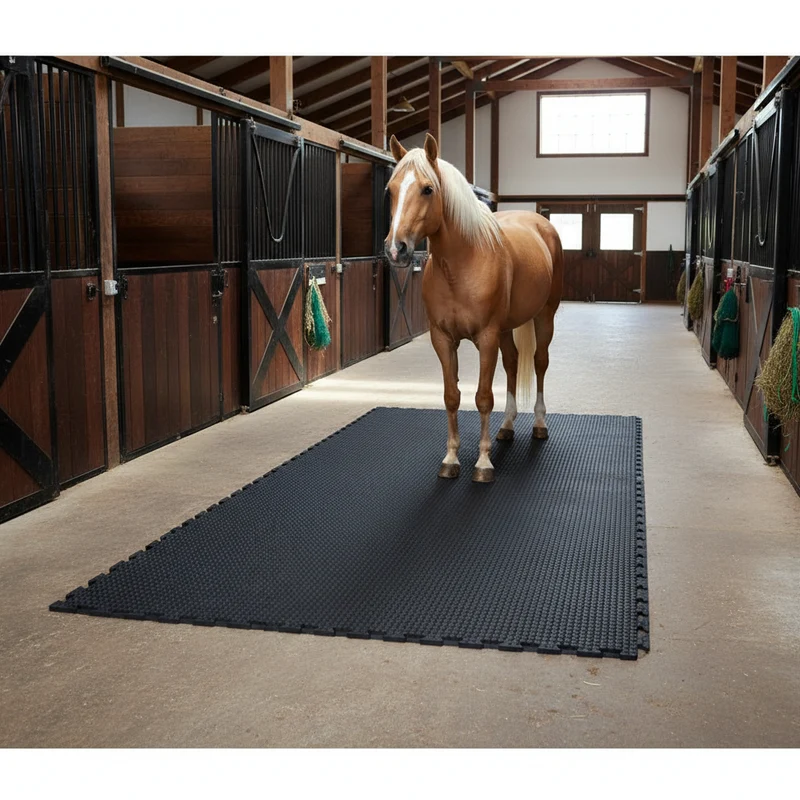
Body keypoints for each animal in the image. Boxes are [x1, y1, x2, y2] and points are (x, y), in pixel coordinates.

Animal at [385, 133, 563, 483]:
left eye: (427, 189)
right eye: (391, 189)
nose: (396, 249)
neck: (462, 265)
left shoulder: (487, 338)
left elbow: (482, 397)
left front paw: (483, 464)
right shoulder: (443, 339)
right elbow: (451, 396)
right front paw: (451, 459)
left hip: (544, 316)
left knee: (539, 362)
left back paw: (539, 424)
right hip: (508, 328)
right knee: (512, 363)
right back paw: (507, 427)